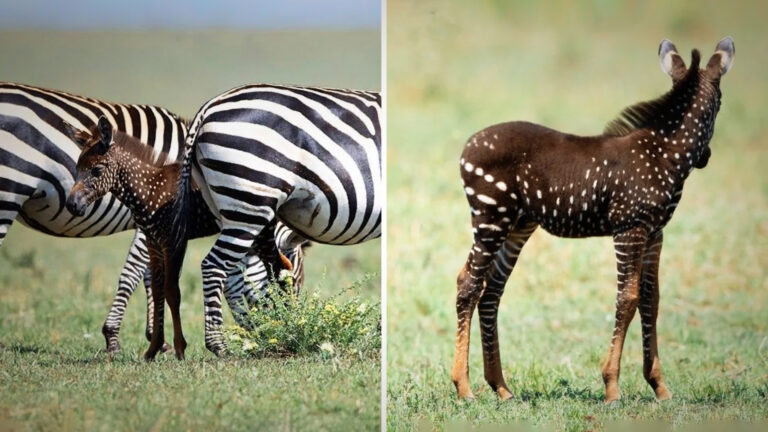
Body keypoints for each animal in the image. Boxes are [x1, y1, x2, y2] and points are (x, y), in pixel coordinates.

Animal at [0, 82, 306, 352]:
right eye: (296, 279)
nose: (283, 325)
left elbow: (151, 276)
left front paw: (154, 338)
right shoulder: (152, 227)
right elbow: (138, 275)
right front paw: (117, 339)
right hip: (8, 192)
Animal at [171, 83, 380, 354]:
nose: (290, 322)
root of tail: (208, 107)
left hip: (234, 207)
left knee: (235, 271)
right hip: (251, 200)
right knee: (214, 265)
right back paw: (220, 345)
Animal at [452, 38, 736, 404]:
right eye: (720, 104)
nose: (707, 158)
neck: (664, 154)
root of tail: (468, 144)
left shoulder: (655, 233)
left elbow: (651, 299)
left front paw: (659, 386)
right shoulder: (630, 228)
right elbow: (627, 299)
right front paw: (612, 387)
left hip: (517, 225)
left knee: (491, 291)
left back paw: (500, 387)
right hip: (490, 218)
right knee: (468, 285)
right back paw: (464, 387)